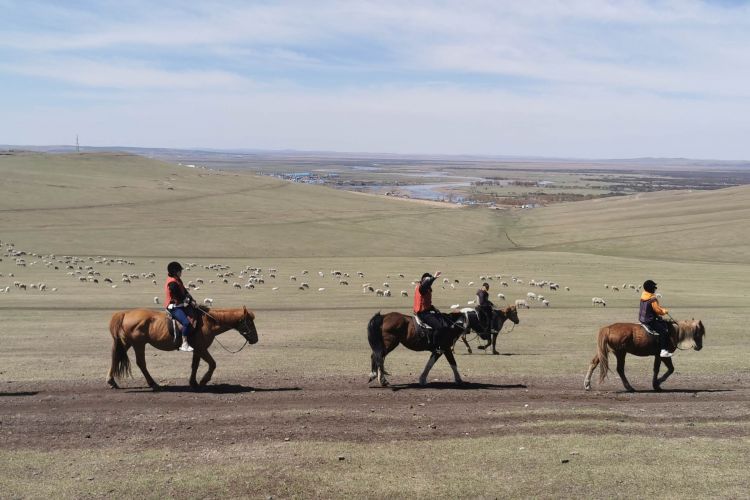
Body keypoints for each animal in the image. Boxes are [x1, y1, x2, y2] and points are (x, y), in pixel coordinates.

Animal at [106, 306, 258, 390]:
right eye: (249, 322)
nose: (256, 339)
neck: (208, 322)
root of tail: (124, 313)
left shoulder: (197, 349)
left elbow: (195, 365)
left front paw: (194, 382)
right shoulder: (202, 349)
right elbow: (213, 364)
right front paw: (203, 381)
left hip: (126, 343)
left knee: (115, 357)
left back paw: (112, 382)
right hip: (138, 344)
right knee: (141, 363)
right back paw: (153, 384)